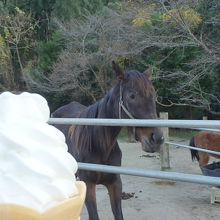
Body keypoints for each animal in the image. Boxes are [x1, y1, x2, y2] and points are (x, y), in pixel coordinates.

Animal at [51, 61, 164, 220]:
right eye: (132, 95)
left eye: (154, 95)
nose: (157, 139)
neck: (99, 145)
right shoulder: (88, 184)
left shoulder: (115, 183)